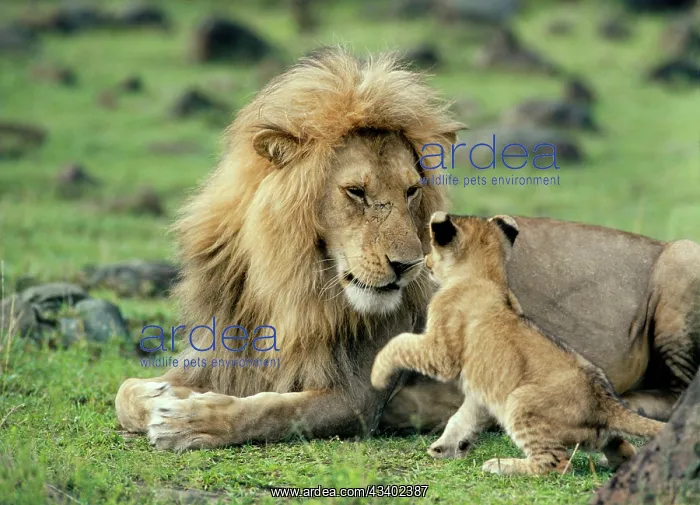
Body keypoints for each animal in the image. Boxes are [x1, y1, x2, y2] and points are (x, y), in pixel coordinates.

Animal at [115, 47, 700, 451]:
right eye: (356, 193)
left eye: (412, 191)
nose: (409, 264)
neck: (288, 282)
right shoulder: (223, 348)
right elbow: (124, 392)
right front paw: (160, 397)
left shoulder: (358, 397)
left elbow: (269, 412)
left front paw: (191, 421)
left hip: (683, 255)